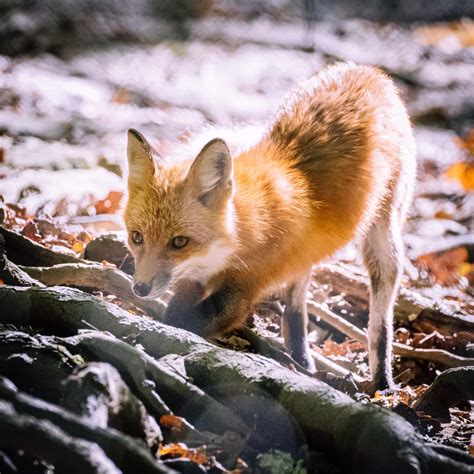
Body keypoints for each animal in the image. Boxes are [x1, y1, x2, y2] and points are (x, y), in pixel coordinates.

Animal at [124, 62, 416, 388]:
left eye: (179, 242)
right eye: (136, 237)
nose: (139, 289)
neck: (235, 242)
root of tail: (366, 70)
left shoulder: (244, 290)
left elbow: (187, 320)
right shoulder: (195, 278)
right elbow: (177, 308)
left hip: (383, 241)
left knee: (380, 325)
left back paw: (382, 382)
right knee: (295, 304)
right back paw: (301, 358)